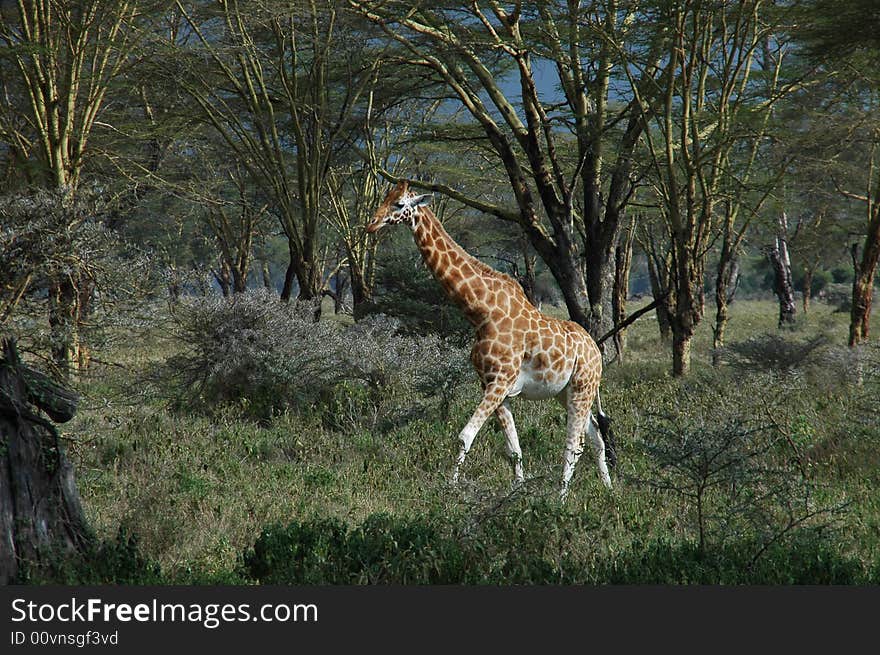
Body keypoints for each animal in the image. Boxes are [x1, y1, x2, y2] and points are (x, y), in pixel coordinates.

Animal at [366, 179, 620, 498]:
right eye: (385, 197)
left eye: (399, 204)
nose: (371, 224)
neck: (481, 311)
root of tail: (596, 351)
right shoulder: (492, 385)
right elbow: (514, 448)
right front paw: (517, 493)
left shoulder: (500, 381)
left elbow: (464, 436)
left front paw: (451, 489)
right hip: (566, 392)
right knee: (596, 436)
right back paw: (609, 489)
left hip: (582, 387)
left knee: (575, 443)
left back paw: (560, 498)